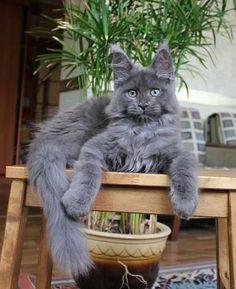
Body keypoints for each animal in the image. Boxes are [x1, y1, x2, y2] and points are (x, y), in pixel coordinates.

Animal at [26, 42, 198, 276]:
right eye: (132, 93)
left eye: (155, 92)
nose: (143, 104)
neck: (140, 130)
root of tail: (43, 137)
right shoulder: (94, 147)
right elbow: (88, 174)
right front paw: (76, 203)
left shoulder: (179, 152)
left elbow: (185, 171)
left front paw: (185, 203)